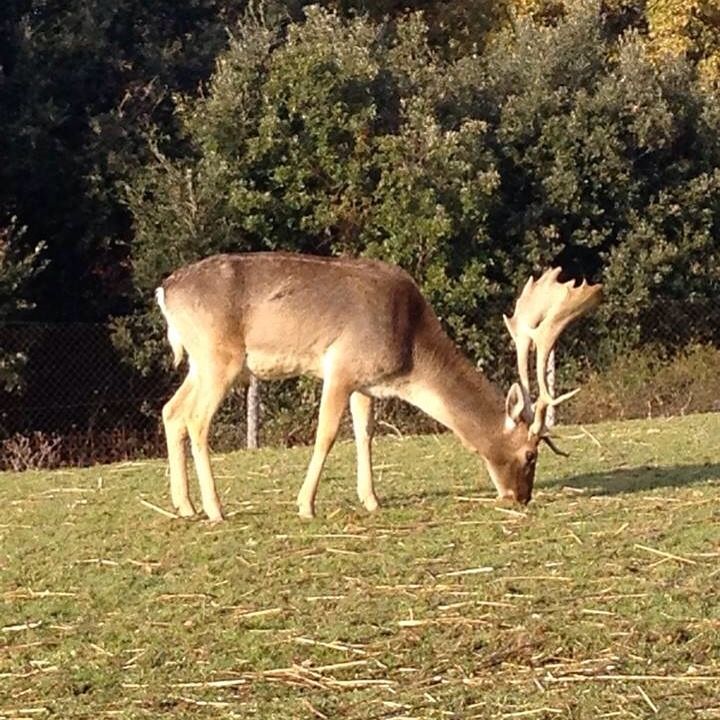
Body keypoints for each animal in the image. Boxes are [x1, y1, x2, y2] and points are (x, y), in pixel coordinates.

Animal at [155, 252, 602, 522]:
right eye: (529, 454)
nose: (521, 497)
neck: (409, 356)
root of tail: (165, 291)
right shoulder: (341, 366)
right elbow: (326, 435)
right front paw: (306, 505)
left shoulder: (365, 385)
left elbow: (364, 434)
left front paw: (371, 499)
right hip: (220, 357)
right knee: (196, 420)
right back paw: (215, 509)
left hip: (199, 362)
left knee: (171, 411)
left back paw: (185, 505)